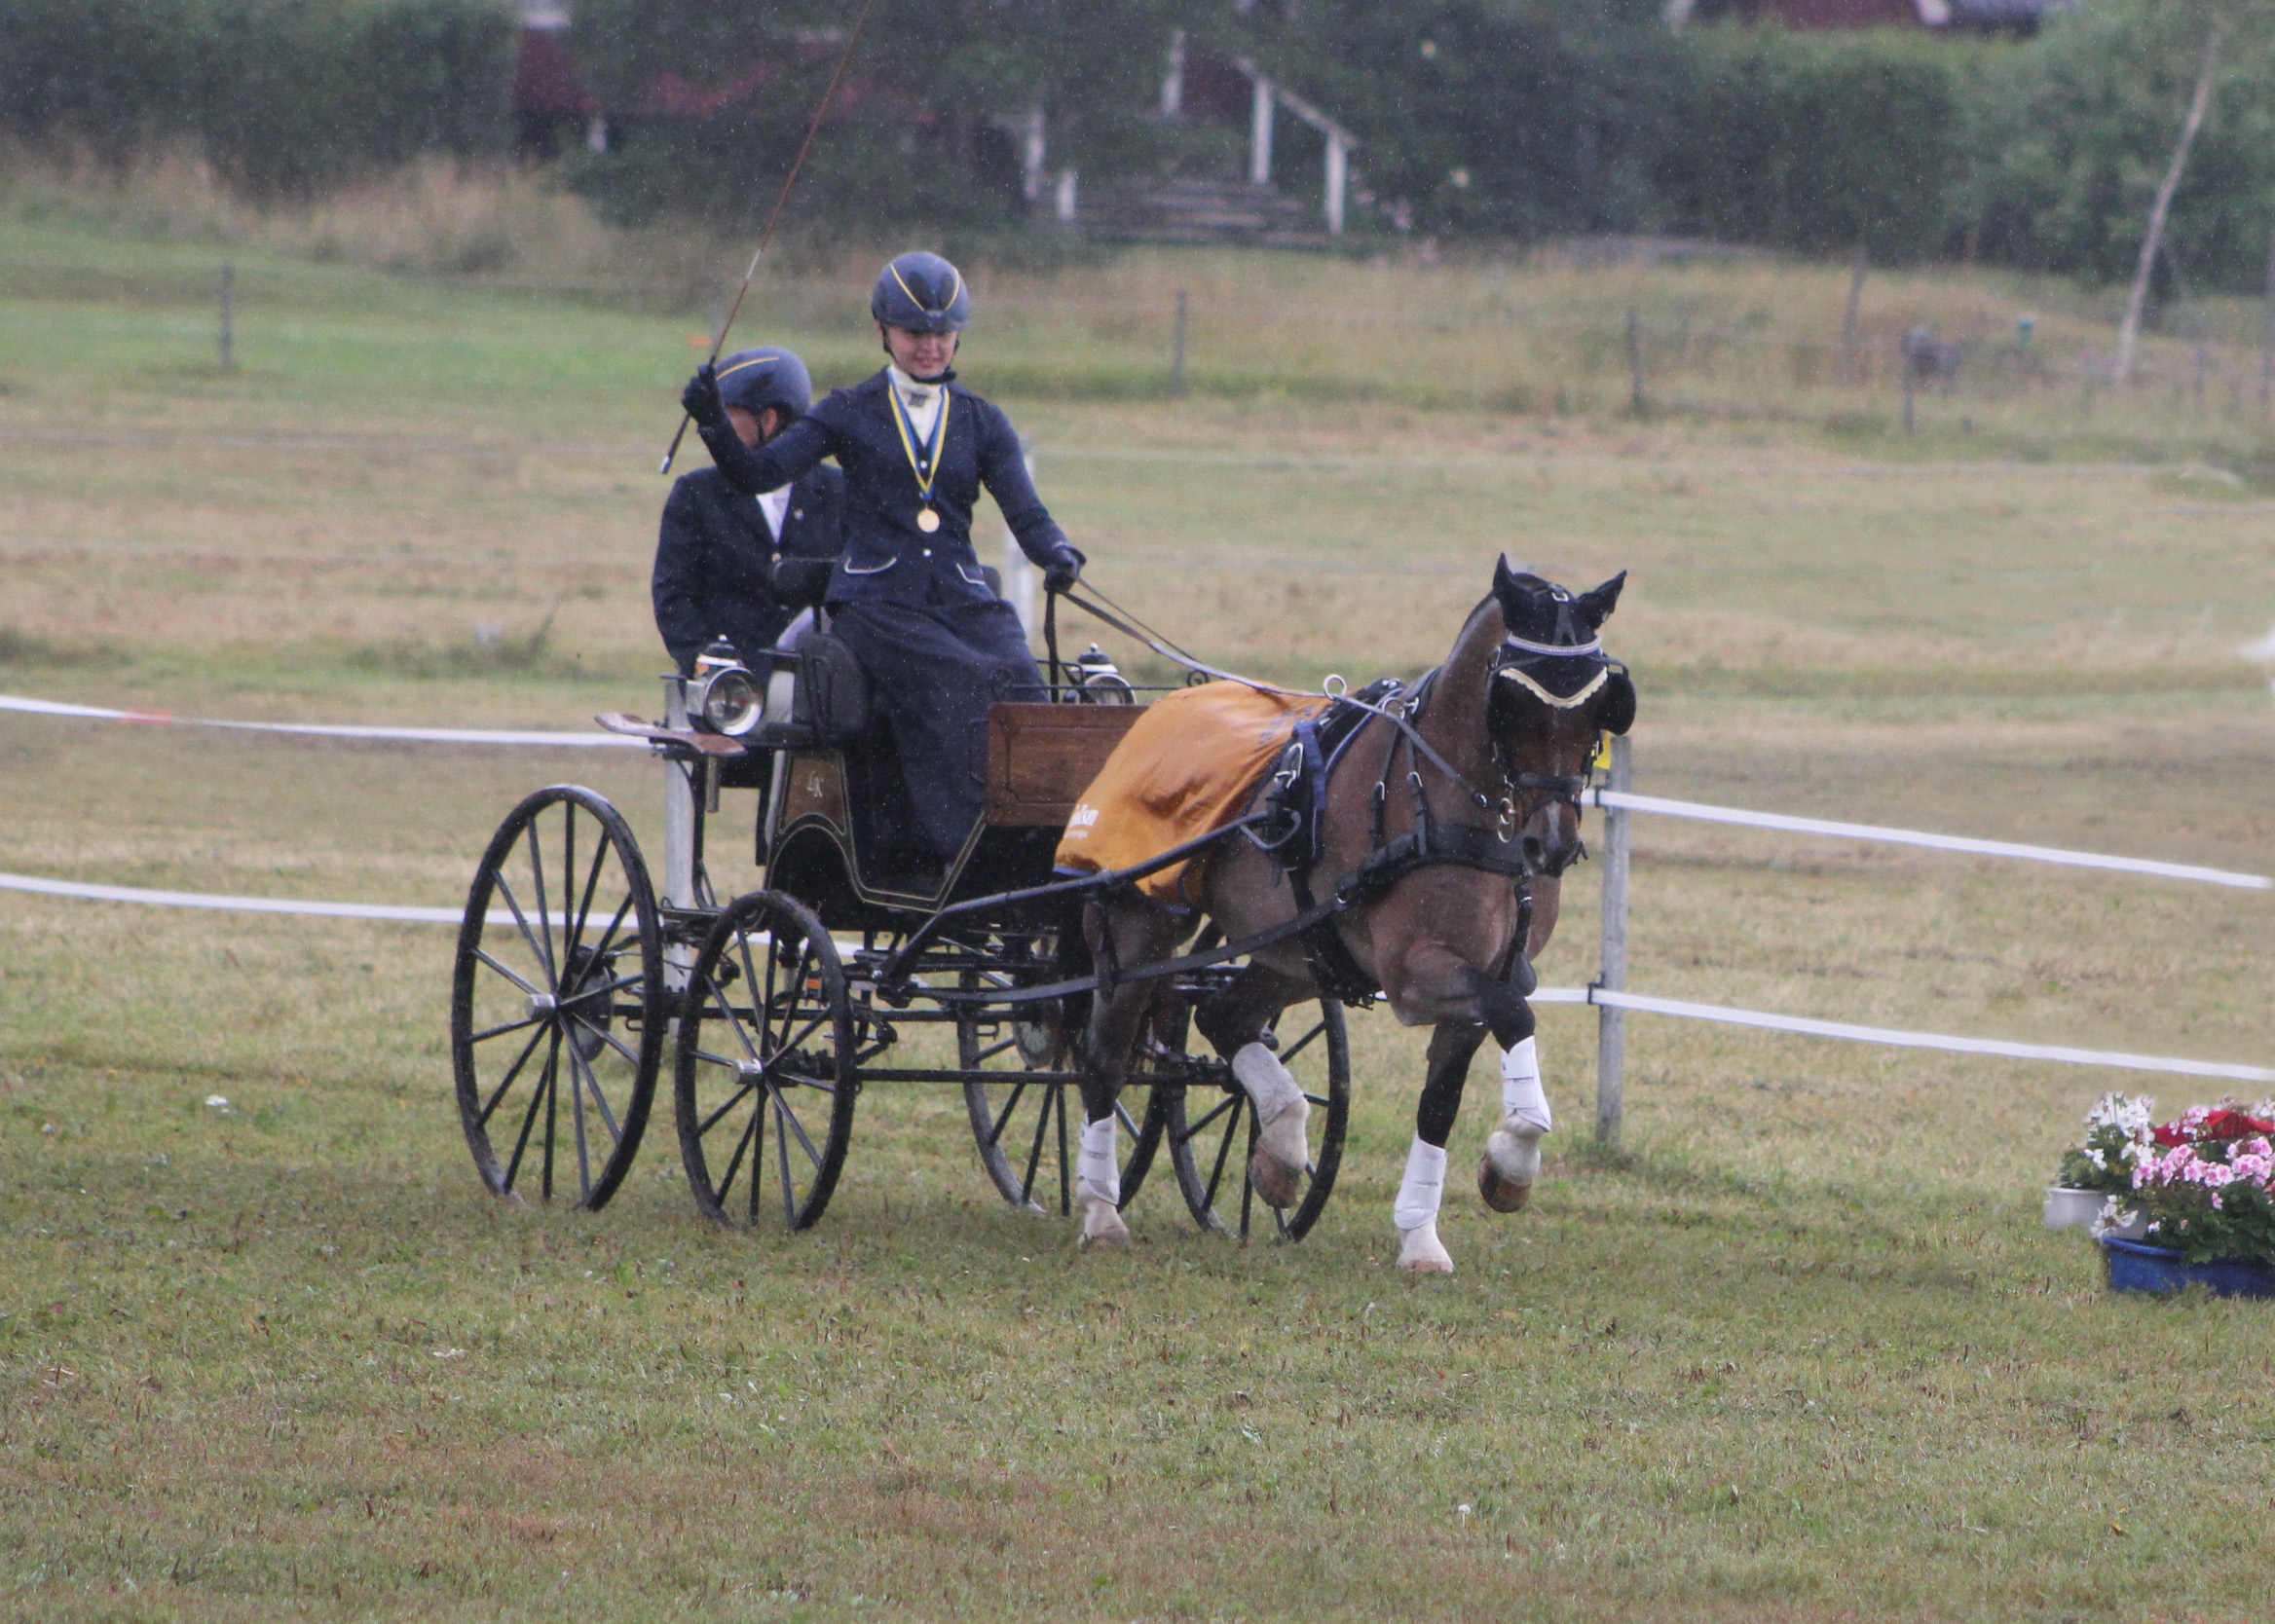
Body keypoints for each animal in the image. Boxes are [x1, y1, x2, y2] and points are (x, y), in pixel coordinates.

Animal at [1068, 564, 1628, 1273]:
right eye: (1512, 700)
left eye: (1597, 704)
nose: (1550, 844)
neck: (1442, 798)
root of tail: (1158, 711)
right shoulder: (1417, 972)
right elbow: (1515, 1016)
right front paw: (1513, 1162)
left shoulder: (1490, 971)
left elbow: (1441, 1101)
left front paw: (1425, 1232)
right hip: (1138, 929)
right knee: (1103, 1060)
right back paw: (1100, 1209)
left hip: (1300, 952)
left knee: (1224, 1016)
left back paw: (1279, 1149)